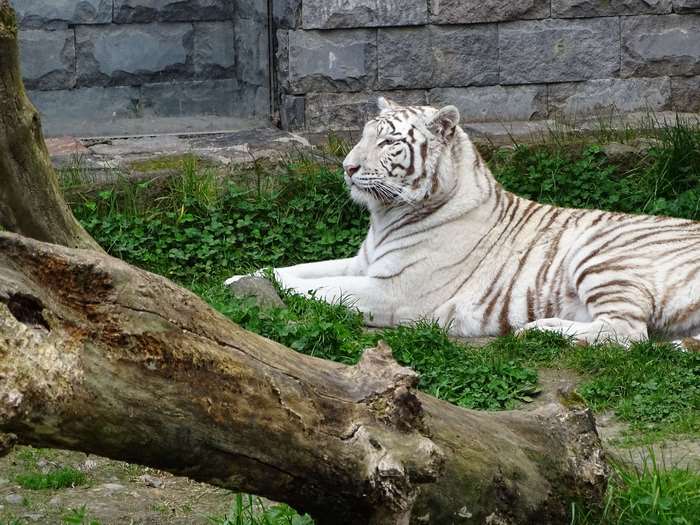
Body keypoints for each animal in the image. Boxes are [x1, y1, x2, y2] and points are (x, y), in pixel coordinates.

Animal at [225, 97, 700, 349]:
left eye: (389, 141)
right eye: (364, 134)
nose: (348, 167)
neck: (387, 217)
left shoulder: (394, 291)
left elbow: (319, 287)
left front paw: (260, 288)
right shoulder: (364, 262)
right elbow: (299, 268)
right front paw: (239, 278)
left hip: (601, 256)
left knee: (628, 333)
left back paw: (540, 329)